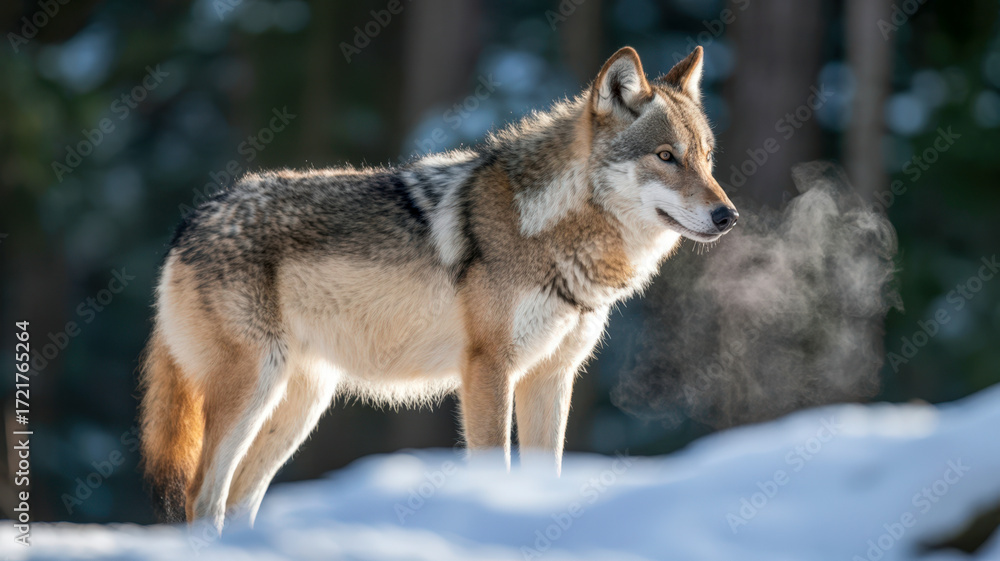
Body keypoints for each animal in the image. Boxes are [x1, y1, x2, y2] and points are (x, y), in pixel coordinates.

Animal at [139, 46, 738, 530]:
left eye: (707, 158)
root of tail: (190, 221)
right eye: (666, 156)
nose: (728, 215)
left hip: (300, 406)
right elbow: (494, 466)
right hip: (253, 390)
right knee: (202, 496)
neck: (551, 227)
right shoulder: (488, 368)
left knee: (239, 499)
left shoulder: (551, 375)